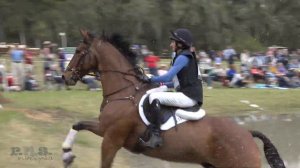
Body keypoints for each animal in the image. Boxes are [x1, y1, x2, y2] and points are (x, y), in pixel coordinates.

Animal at [61, 29, 286, 167]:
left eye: (79, 51)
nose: (65, 77)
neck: (124, 93)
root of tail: (247, 133)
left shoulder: (111, 138)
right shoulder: (103, 129)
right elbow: (77, 124)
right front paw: (66, 153)